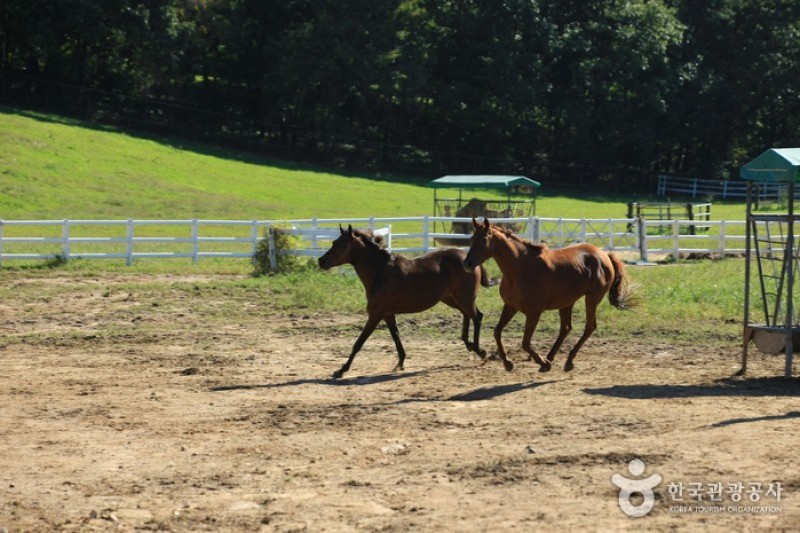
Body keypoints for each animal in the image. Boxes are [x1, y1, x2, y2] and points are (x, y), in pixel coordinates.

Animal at [318, 225, 492, 379]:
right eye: (334, 242)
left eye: (341, 244)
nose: (321, 261)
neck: (381, 272)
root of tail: (470, 260)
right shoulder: (387, 314)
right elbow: (396, 337)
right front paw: (400, 363)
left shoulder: (375, 314)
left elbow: (359, 343)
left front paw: (341, 370)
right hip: (453, 299)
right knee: (470, 315)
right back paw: (469, 345)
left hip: (464, 298)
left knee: (477, 317)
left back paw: (480, 351)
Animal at [464, 217, 635, 373]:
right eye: (472, 239)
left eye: (483, 239)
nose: (467, 264)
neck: (520, 268)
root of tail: (604, 255)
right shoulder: (510, 306)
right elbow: (497, 332)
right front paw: (508, 363)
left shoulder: (534, 312)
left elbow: (525, 342)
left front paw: (542, 363)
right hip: (567, 302)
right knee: (566, 328)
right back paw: (551, 356)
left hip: (592, 298)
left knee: (589, 327)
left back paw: (568, 360)